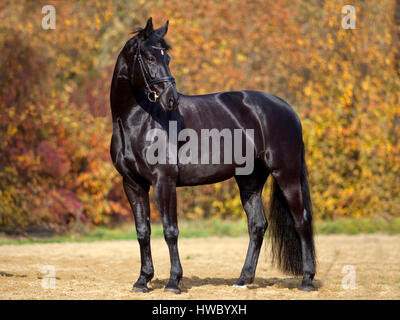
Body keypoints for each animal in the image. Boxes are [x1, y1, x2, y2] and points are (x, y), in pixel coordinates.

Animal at [109, 16, 316, 292]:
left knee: (301, 220)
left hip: (286, 174)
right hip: (250, 180)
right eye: (149, 57)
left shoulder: (164, 181)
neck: (138, 121)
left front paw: (173, 282)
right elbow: (143, 231)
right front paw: (143, 280)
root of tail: (288, 110)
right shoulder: (132, 183)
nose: (171, 99)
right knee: (257, 225)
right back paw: (243, 279)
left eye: (167, 58)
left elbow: (170, 231)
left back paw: (307, 280)